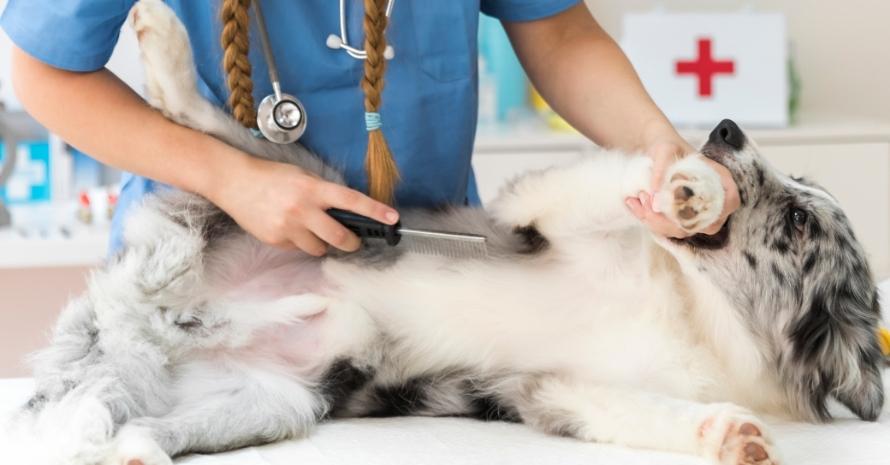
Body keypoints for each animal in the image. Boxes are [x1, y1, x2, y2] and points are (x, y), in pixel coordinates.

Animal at [5, 0, 880, 464]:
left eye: (799, 218)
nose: (728, 128)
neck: (696, 313)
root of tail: (137, 316)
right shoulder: (536, 215)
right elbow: (610, 177)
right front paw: (689, 184)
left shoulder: (555, 387)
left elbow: (645, 413)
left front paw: (730, 434)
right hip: (280, 180)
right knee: (208, 124)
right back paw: (162, 45)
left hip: (271, 398)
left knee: (142, 426)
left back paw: (127, 447)